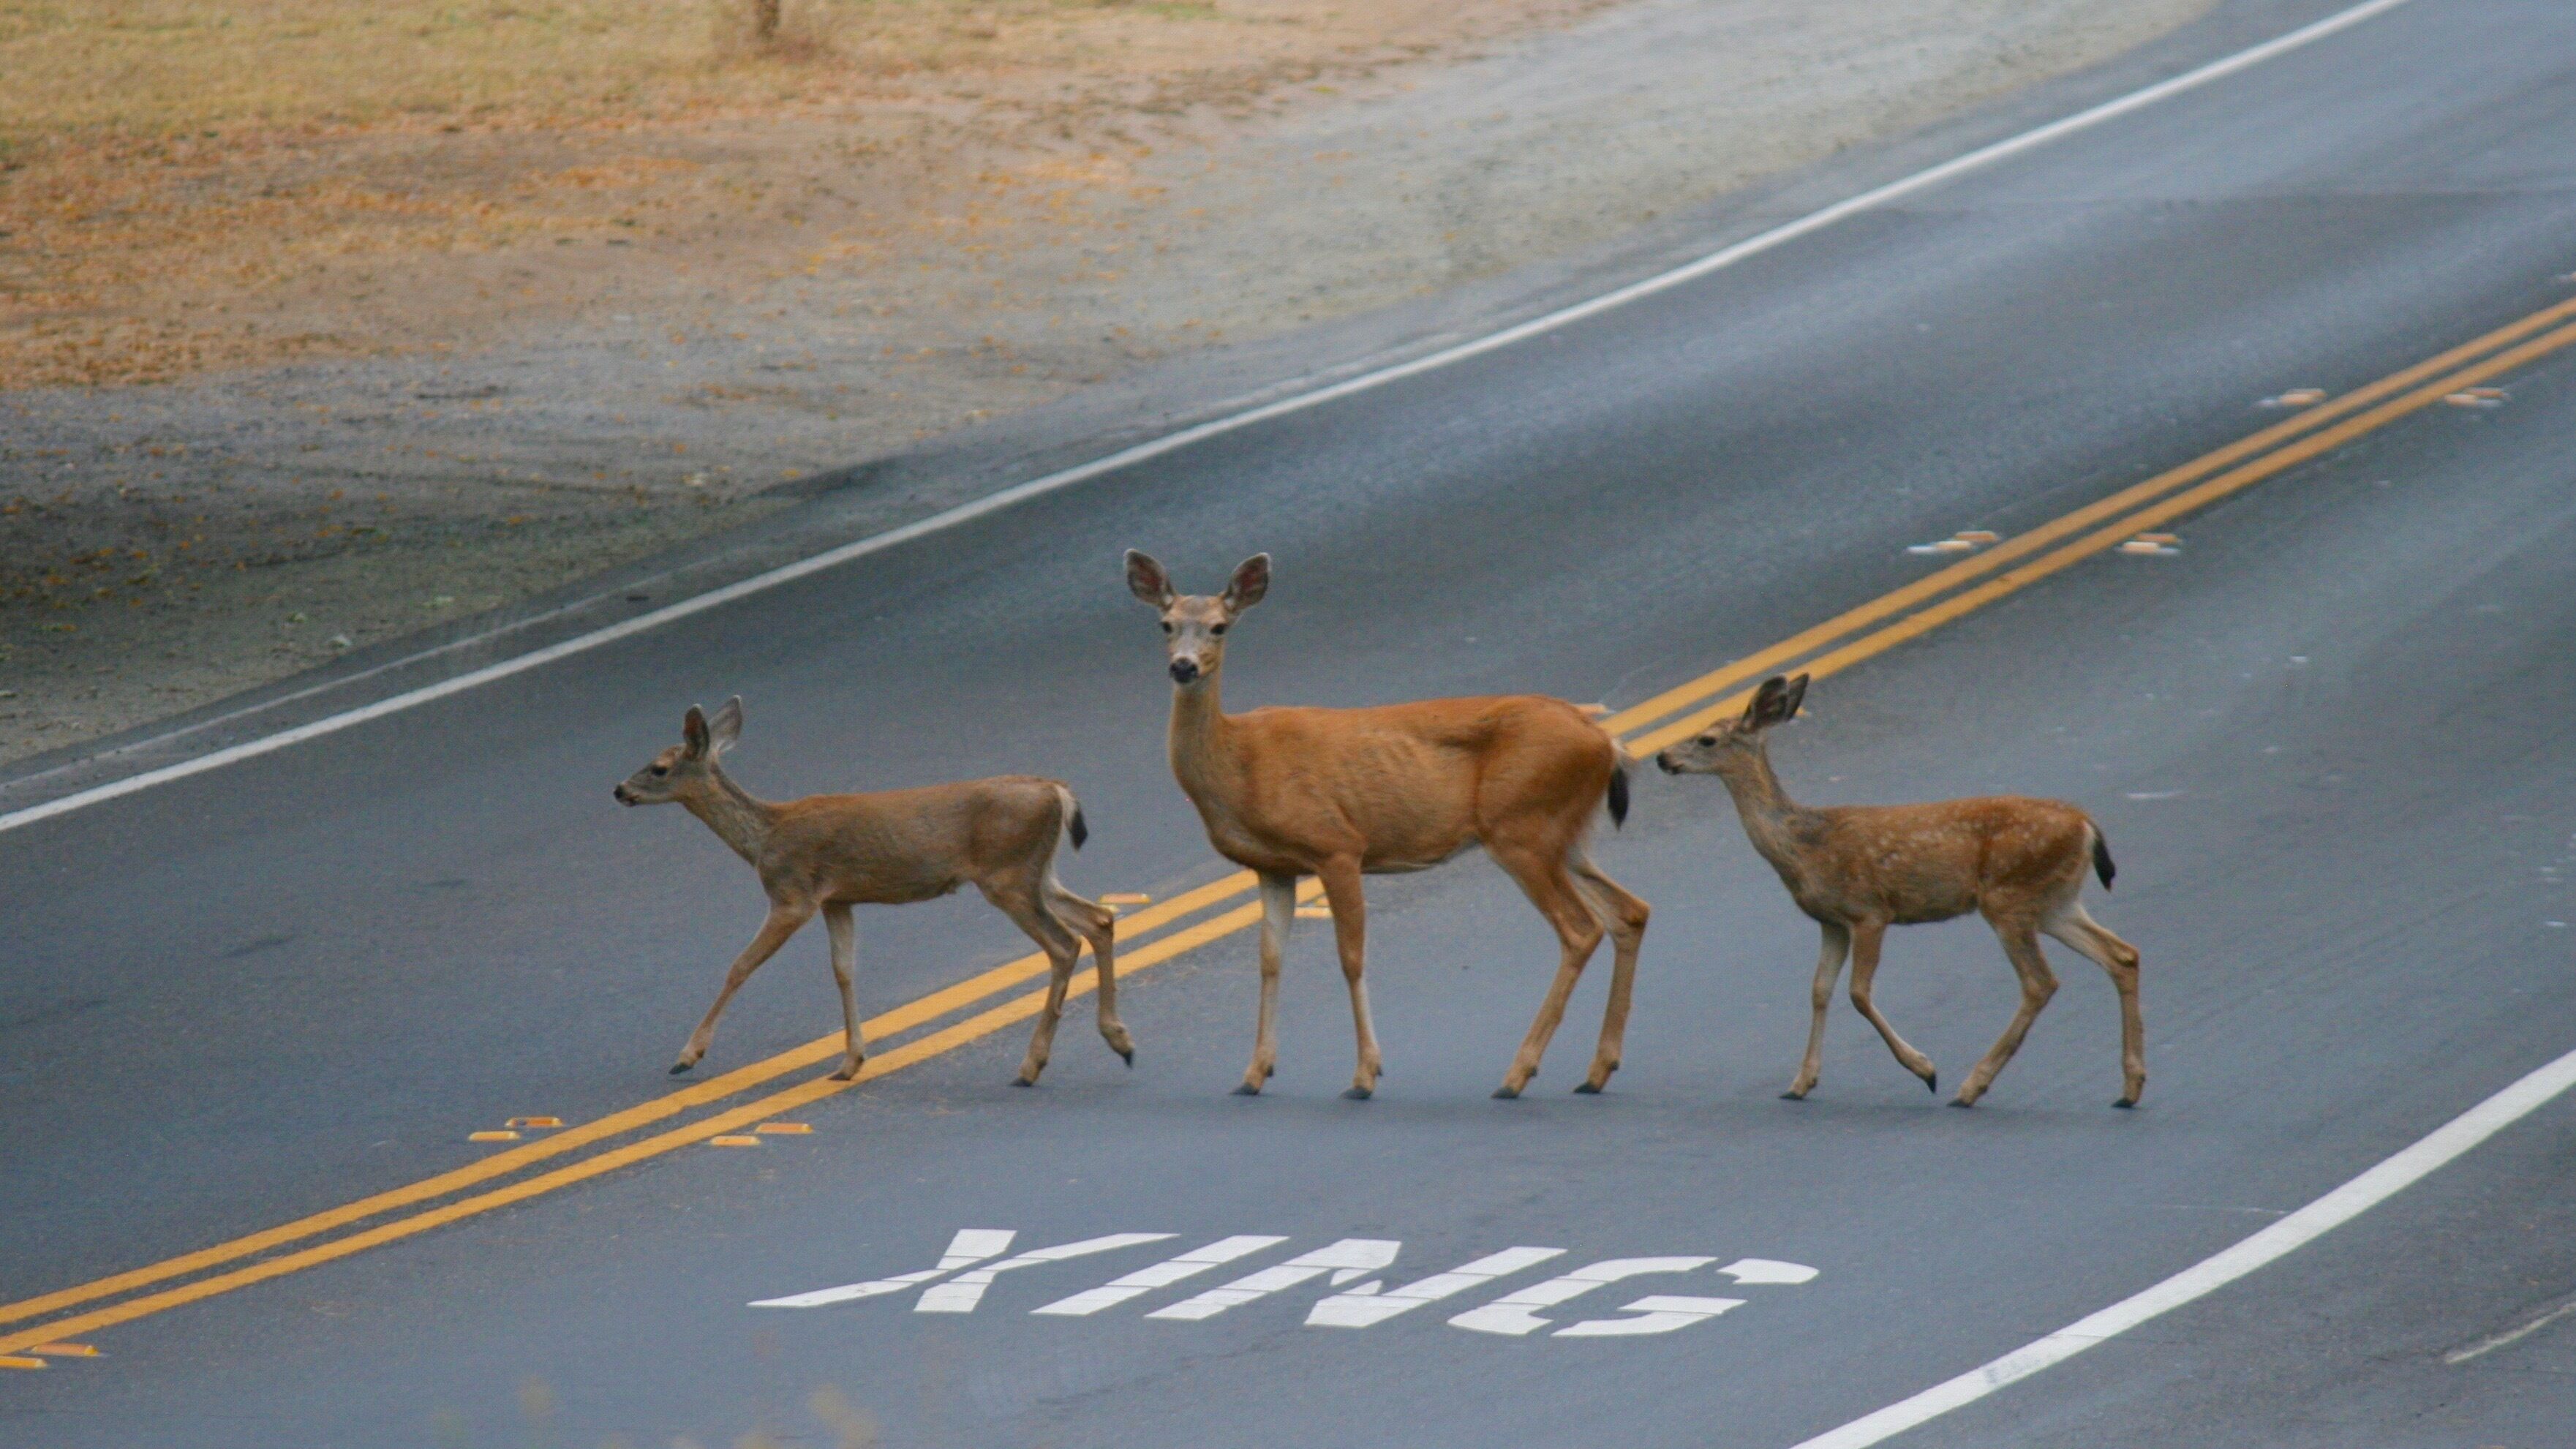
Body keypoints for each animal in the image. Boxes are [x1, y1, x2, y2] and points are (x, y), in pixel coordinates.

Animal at [612, 696, 1132, 1087]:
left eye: (659, 768)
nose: (619, 790)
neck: (764, 836)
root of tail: (1058, 791)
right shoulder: (838, 899)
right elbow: (844, 971)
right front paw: (849, 1063)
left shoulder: (793, 894)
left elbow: (741, 965)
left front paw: (687, 1055)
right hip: (1038, 873)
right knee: (1100, 918)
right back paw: (1119, 1041)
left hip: (1007, 876)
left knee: (1064, 944)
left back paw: (1031, 1066)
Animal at [1123, 550, 1650, 1101]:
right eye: (1166, 623)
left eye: (1219, 626)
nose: (1183, 665)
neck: (1238, 765)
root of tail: (1605, 741)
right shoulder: (1273, 867)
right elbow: (1270, 960)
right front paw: (1254, 1073)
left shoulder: (1336, 845)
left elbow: (1351, 955)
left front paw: (1364, 1075)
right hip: (1562, 834)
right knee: (1629, 911)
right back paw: (1596, 1070)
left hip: (1519, 827)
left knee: (1581, 928)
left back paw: (1516, 1075)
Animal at [1654, 674, 2144, 1108]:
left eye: (1707, 740)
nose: (1662, 758)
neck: (1804, 846)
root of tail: (2086, 824)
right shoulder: (1831, 921)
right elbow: (1819, 990)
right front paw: (1800, 1083)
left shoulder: (1870, 911)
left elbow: (1857, 993)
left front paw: (1925, 1069)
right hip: (2054, 901)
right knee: (2121, 955)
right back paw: (2130, 1088)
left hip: (2008, 897)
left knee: (2041, 982)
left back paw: (1970, 1088)